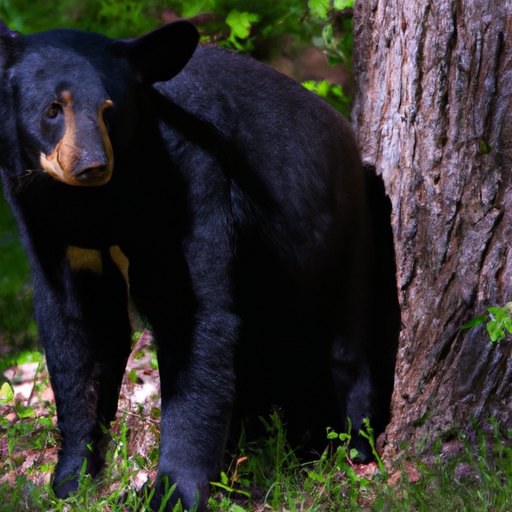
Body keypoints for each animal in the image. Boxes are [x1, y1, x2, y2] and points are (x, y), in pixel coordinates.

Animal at [0, 18, 400, 510]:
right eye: (54, 109)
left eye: (110, 110)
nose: (92, 165)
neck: (95, 206)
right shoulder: (47, 226)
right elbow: (77, 333)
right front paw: (72, 480)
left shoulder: (190, 184)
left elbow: (195, 317)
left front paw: (173, 490)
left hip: (346, 235)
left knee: (348, 339)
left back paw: (353, 447)